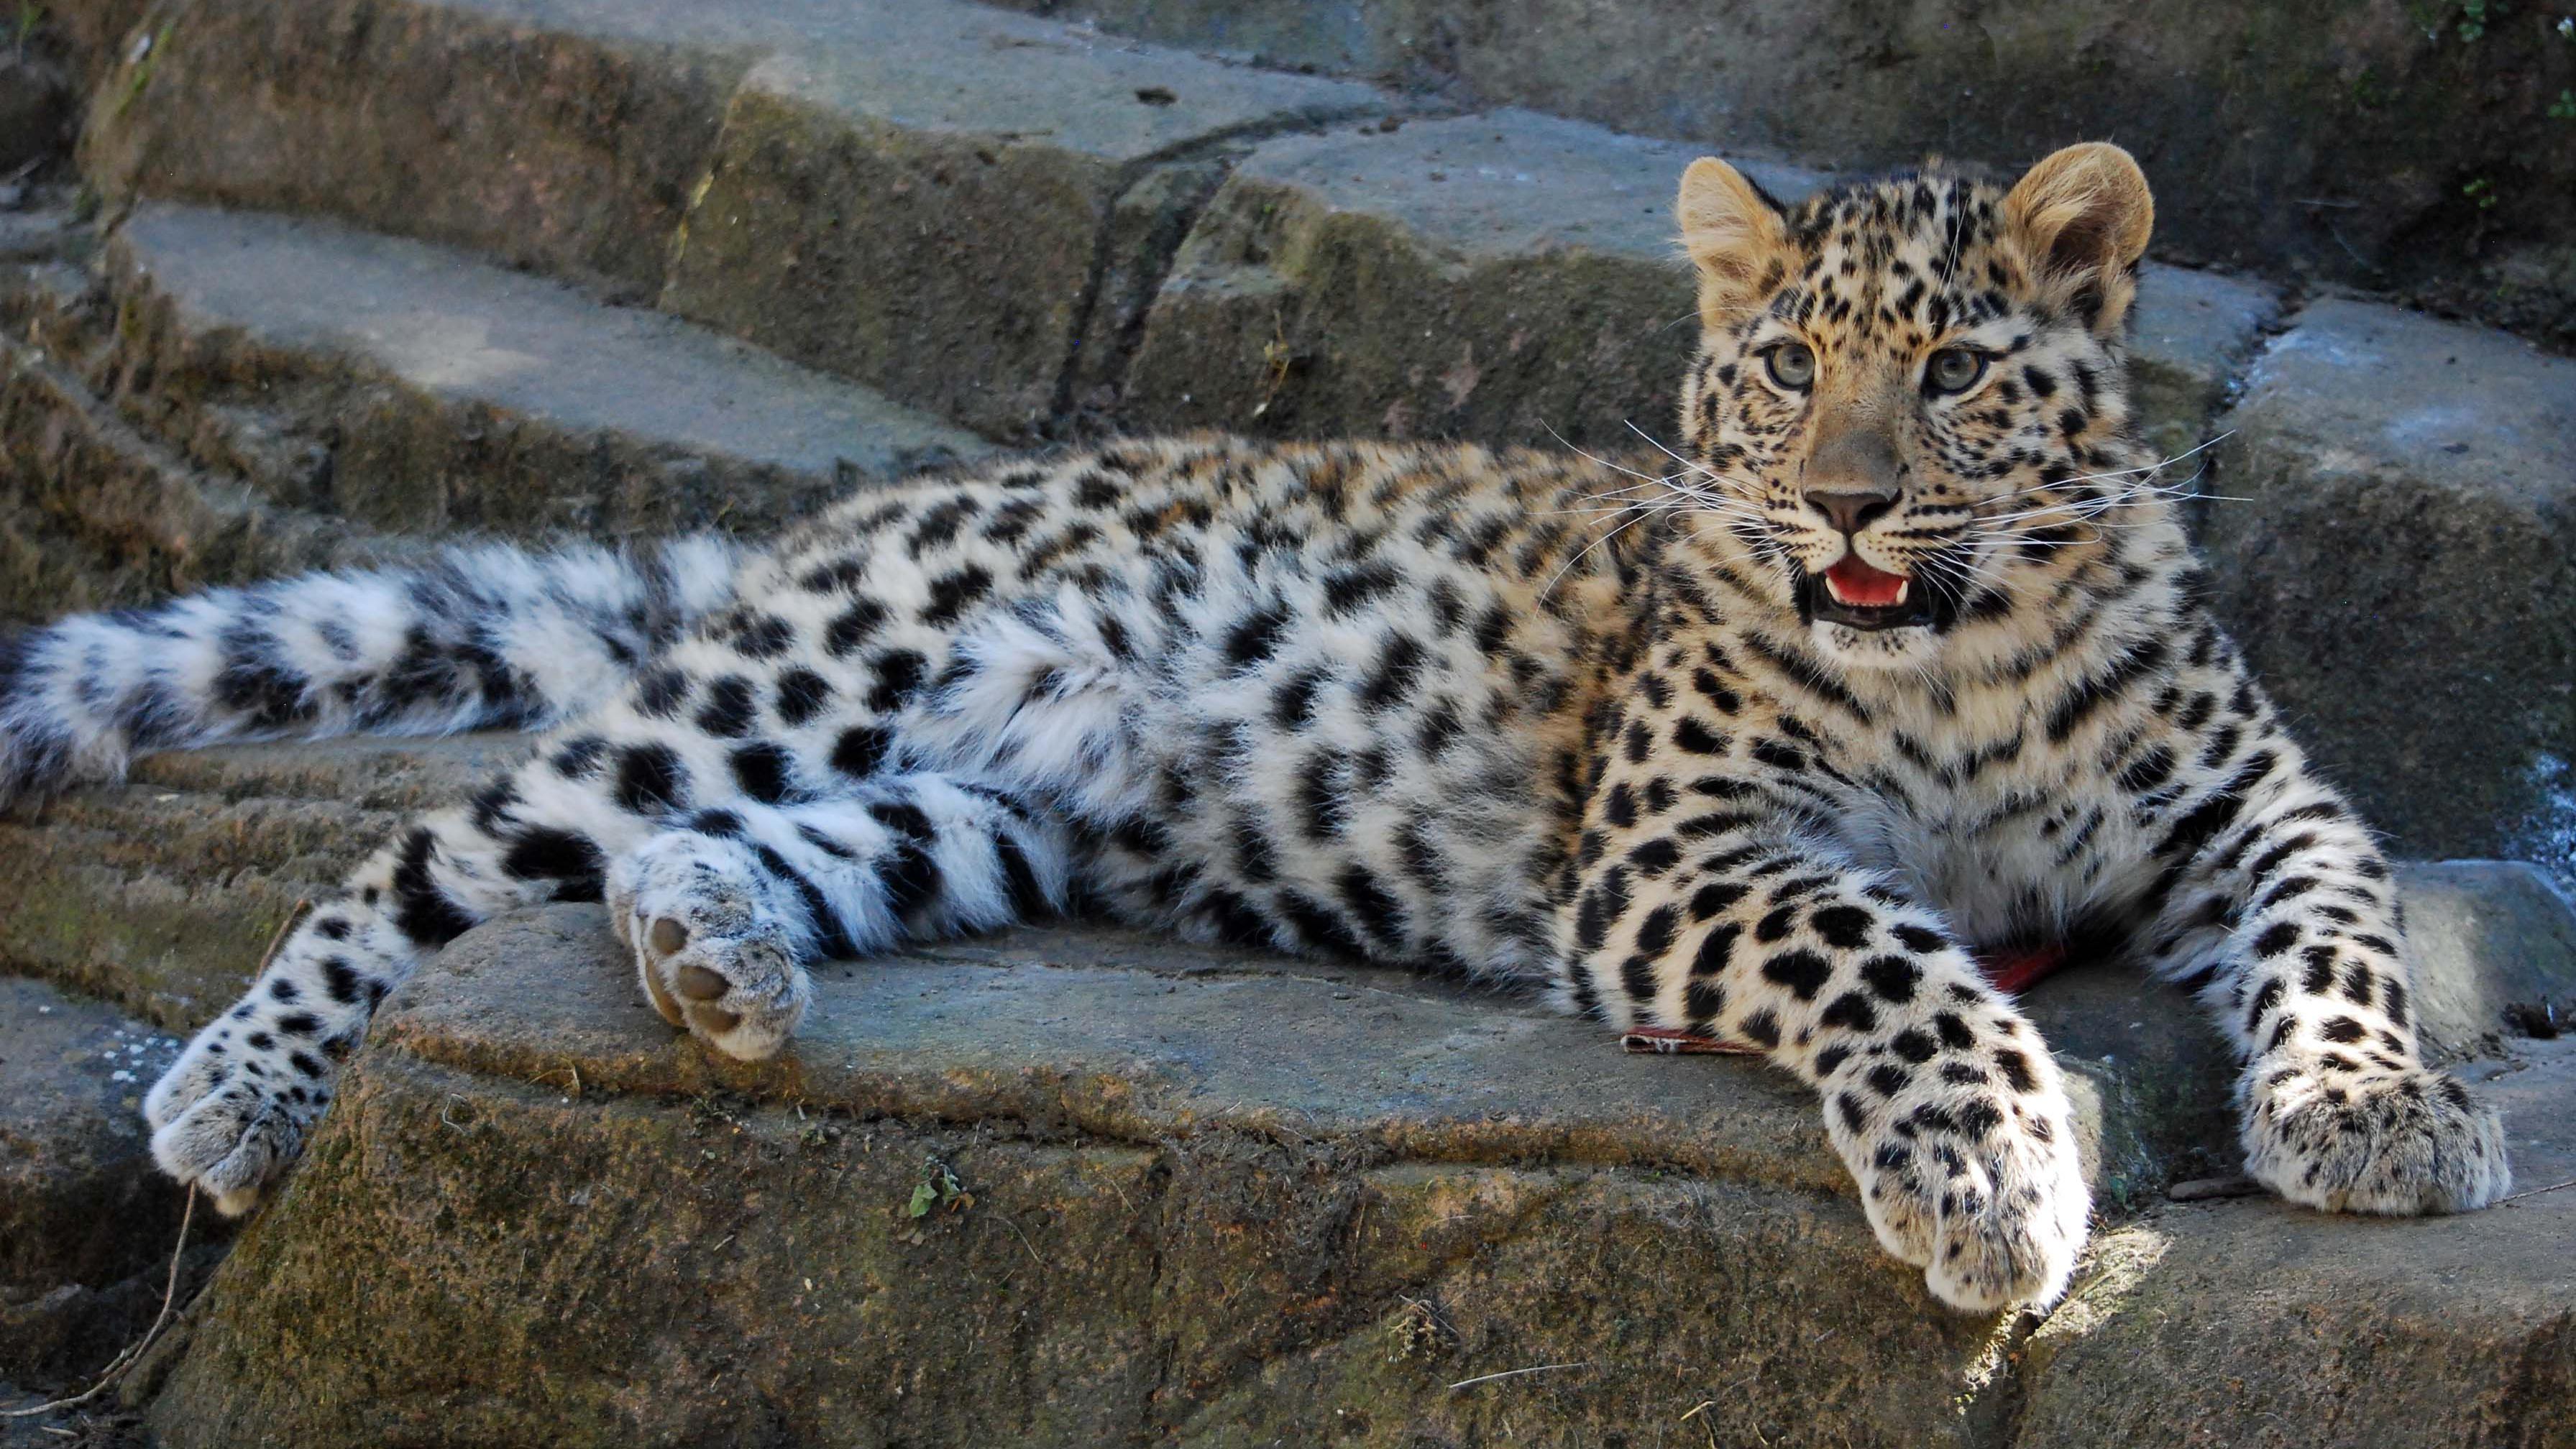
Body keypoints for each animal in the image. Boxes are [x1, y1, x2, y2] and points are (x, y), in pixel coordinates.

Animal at [0, 143, 2509, 1314]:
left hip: (994, 808)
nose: (1845, 501)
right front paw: (1991, 1176)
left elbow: (2352, 923)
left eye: (1959, 372)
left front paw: (2376, 1115)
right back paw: (237, 1085)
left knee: (724, 853)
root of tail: (890, 498)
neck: (1958, 661)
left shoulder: (2256, 804)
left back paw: (721, 956)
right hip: (804, 676)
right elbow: (1897, 960)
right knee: (439, 853)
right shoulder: (1679, 853)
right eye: (1790, 367)